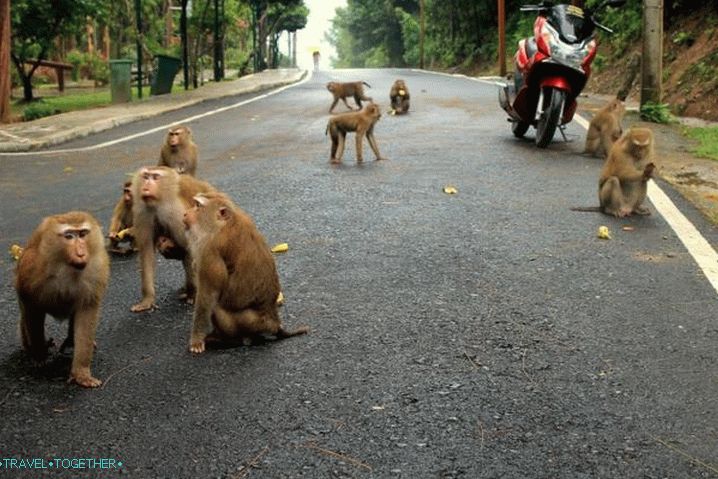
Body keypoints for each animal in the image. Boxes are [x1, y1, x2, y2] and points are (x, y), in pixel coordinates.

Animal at [14, 212, 110, 388]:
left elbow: (86, 311)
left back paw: (71, 341)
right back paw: (33, 348)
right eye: (69, 236)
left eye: (83, 234)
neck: (66, 266)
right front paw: (39, 356)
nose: (80, 252)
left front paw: (81, 373)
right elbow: (32, 309)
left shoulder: (97, 270)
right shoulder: (31, 270)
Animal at [130, 166, 216, 312]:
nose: (146, 187)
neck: (159, 204)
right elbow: (146, 253)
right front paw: (147, 299)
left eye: (155, 177)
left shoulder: (176, 214)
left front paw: (192, 294)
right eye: (146, 177)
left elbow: (189, 248)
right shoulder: (144, 213)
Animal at [183, 192, 308, 353]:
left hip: (243, 324)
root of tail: (273, 321)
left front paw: (196, 340)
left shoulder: (210, 250)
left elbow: (207, 296)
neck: (224, 224)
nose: (186, 213)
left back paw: (235, 339)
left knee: (216, 305)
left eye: (198, 206)